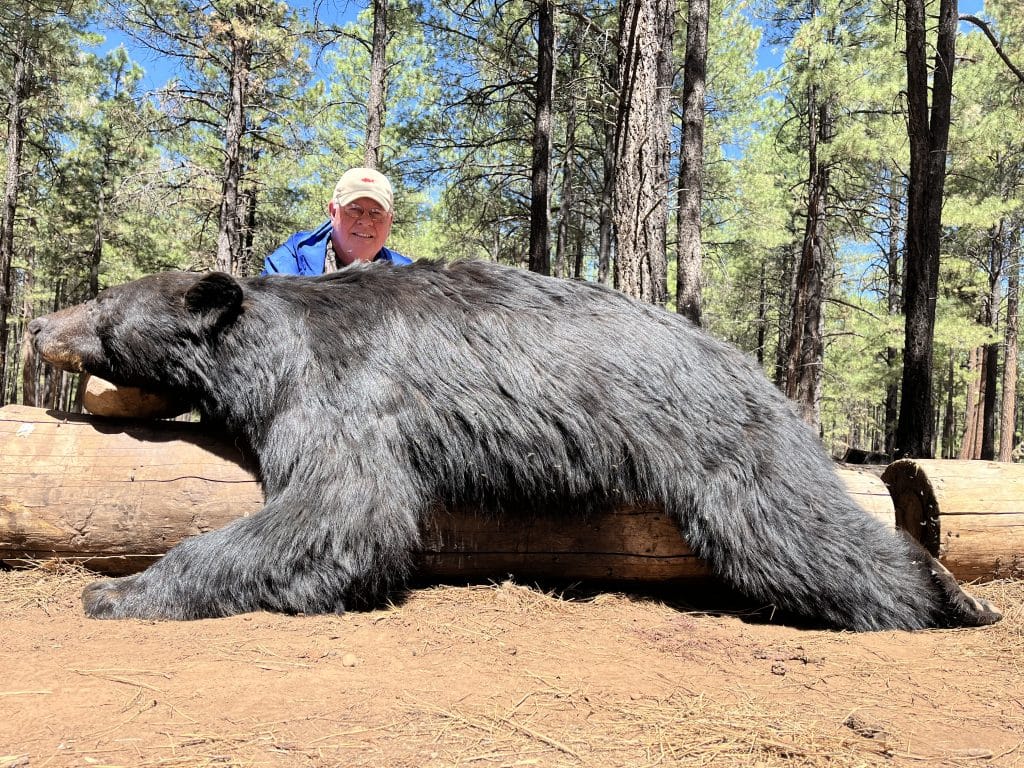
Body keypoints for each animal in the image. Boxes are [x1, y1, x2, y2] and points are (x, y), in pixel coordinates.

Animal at [28, 260, 1001, 631]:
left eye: (105, 304)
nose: (38, 323)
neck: (273, 341)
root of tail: (748, 362)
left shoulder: (338, 394)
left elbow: (345, 511)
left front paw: (119, 590)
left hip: (714, 437)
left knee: (790, 527)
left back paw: (954, 595)